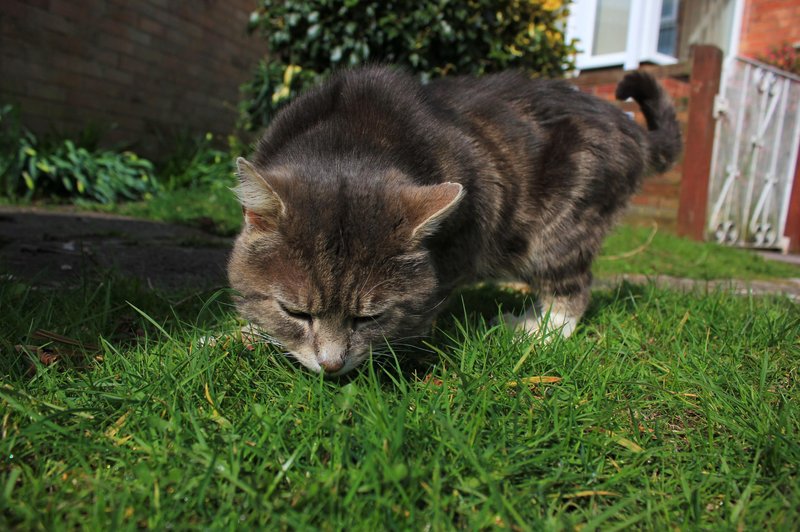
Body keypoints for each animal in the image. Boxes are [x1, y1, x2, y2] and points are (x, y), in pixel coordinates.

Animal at [227, 65, 680, 374]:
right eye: (295, 312)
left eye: (369, 317)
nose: (333, 365)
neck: (347, 141)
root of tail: (630, 127)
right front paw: (241, 334)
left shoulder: (464, 238)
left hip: (562, 226)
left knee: (573, 288)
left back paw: (537, 330)